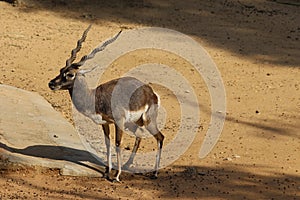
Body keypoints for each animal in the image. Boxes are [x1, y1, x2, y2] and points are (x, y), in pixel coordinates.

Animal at [48, 25, 164, 181]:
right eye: (61, 70)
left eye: (70, 74)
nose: (51, 84)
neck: (94, 97)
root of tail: (150, 91)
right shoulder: (105, 123)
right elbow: (108, 144)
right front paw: (107, 171)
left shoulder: (118, 122)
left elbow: (117, 144)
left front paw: (116, 176)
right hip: (133, 123)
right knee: (140, 135)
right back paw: (128, 165)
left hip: (147, 120)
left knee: (160, 137)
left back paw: (155, 173)